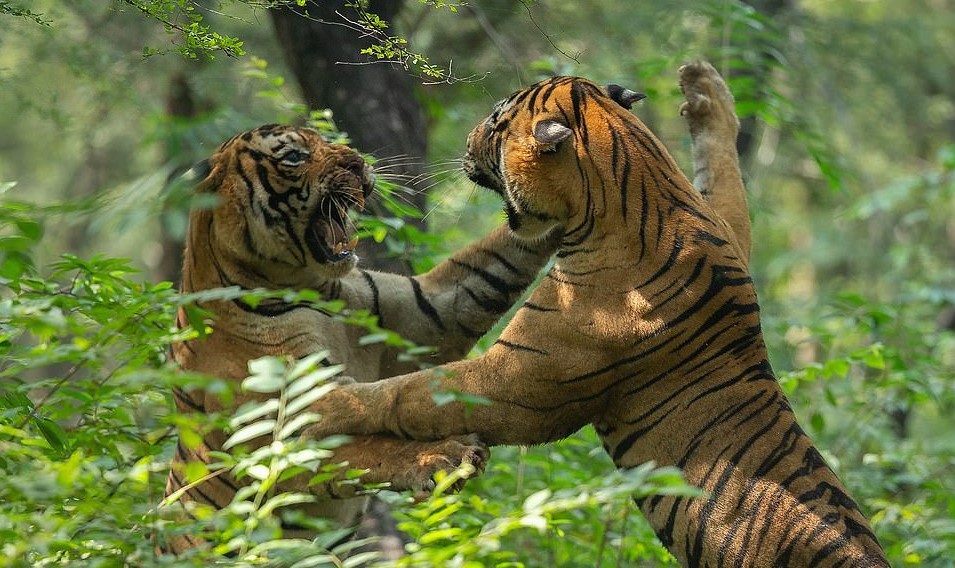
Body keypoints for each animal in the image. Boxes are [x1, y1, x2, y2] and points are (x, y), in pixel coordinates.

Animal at [161, 123, 561, 554]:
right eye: (294, 157)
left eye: (324, 141)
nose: (357, 162)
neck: (310, 289)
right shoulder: (273, 434)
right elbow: (363, 449)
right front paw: (441, 456)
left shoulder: (428, 313)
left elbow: (497, 257)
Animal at [299, 62, 890, 567]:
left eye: (495, 119)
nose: (467, 138)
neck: (641, 188)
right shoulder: (727, 227)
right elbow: (725, 173)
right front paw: (706, 90)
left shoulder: (517, 383)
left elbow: (406, 393)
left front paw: (320, 406)